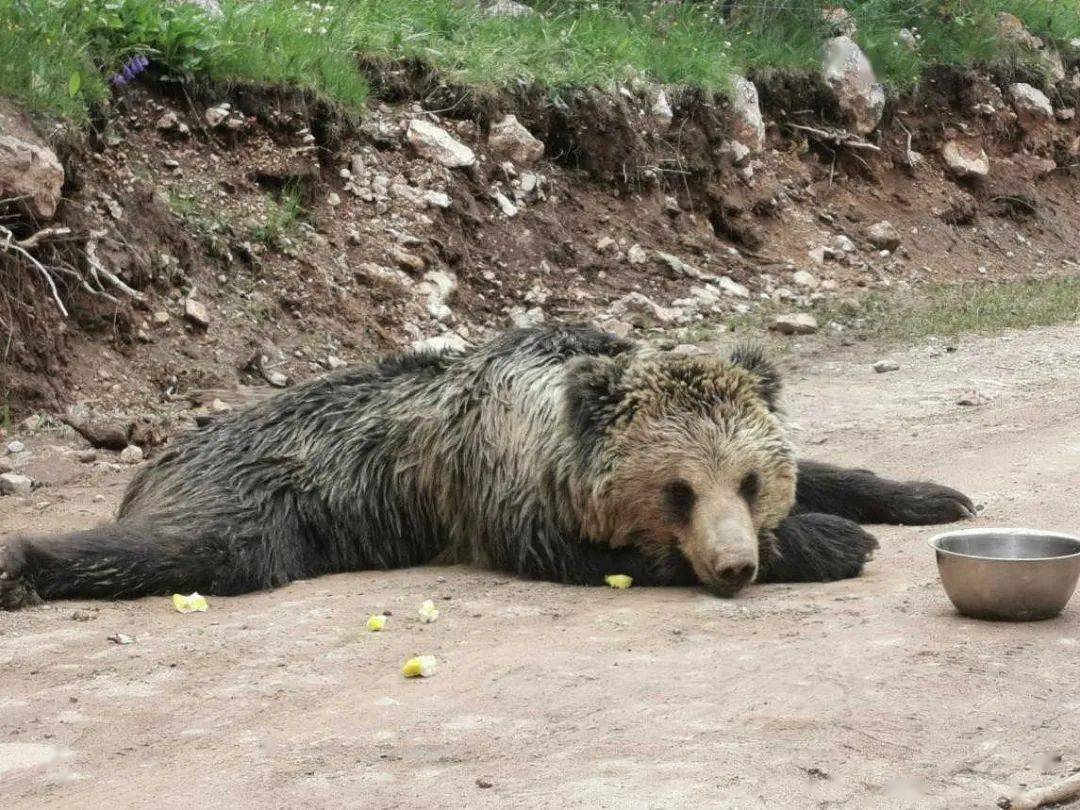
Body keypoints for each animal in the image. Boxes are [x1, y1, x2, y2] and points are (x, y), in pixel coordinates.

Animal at [0, 324, 974, 610]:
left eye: (748, 479)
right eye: (677, 490)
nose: (733, 564)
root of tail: (160, 454)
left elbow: (831, 465)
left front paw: (928, 495)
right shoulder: (506, 499)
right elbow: (600, 554)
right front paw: (834, 540)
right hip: (263, 495)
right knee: (198, 548)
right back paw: (23, 561)